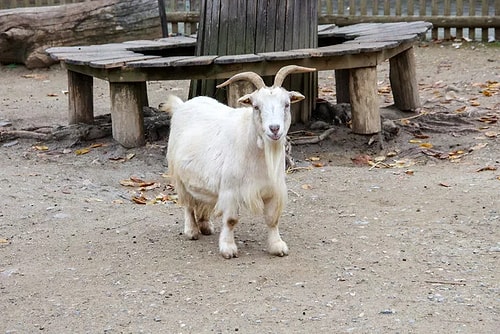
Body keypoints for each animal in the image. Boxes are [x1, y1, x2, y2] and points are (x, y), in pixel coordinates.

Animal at [166, 64, 314, 258]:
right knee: (188, 204)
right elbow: (231, 220)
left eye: (287, 104)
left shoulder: (273, 189)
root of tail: (182, 105)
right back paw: (192, 231)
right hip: (179, 176)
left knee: (203, 200)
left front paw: (277, 246)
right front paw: (228, 248)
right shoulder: (231, 191)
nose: (274, 129)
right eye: (256, 106)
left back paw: (206, 226)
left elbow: (272, 219)